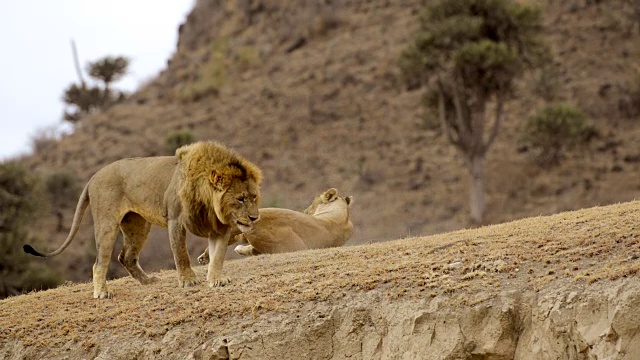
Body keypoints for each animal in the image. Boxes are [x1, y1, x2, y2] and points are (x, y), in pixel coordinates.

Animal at [22, 141, 262, 298]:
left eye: (254, 197)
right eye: (240, 199)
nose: (254, 217)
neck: (209, 203)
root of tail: (93, 176)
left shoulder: (220, 227)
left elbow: (218, 255)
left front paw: (216, 279)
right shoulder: (176, 219)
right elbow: (181, 254)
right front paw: (188, 280)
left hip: (138, 225)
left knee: (126, 256)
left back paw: (147, 281)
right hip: (107, 224)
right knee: (100, 262)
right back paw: (101, 292)